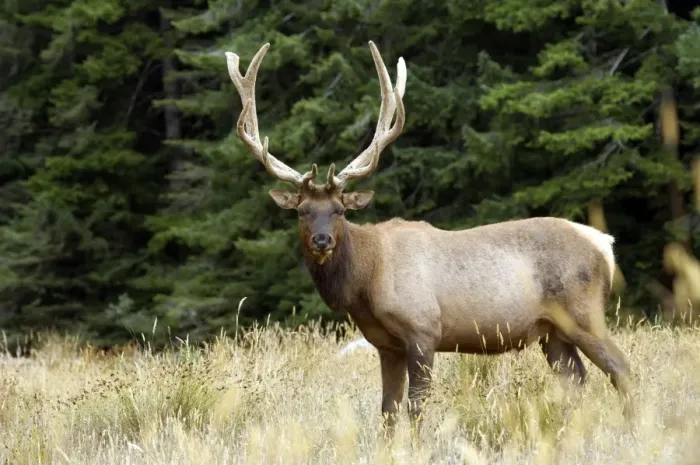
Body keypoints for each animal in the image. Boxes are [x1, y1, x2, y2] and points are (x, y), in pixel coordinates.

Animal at [224, 41, 634, 432]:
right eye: (302, 211)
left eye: (340, 210)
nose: (322, 241)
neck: (367, 281)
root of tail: (605, 243)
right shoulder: (384, 344)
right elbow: (388, 411)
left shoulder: (423, 330)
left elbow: (416, 408)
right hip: (553, 332)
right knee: (576, 380)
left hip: (584, 313)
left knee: (621, 368)